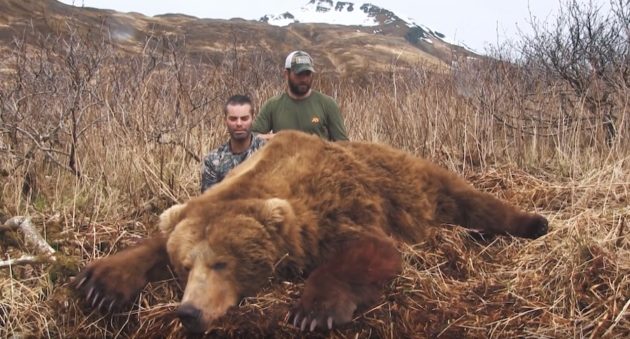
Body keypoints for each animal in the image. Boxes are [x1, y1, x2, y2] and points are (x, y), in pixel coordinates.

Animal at [73, 131, 548, 334]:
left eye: (223, 263)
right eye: (185, 266)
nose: (189, 313)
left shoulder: (334, 209)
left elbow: (370, 250)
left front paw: (311, 310)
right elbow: (151, 243)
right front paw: (101, 284)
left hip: (419, 185)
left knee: (472, 200)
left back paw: (534, 223)